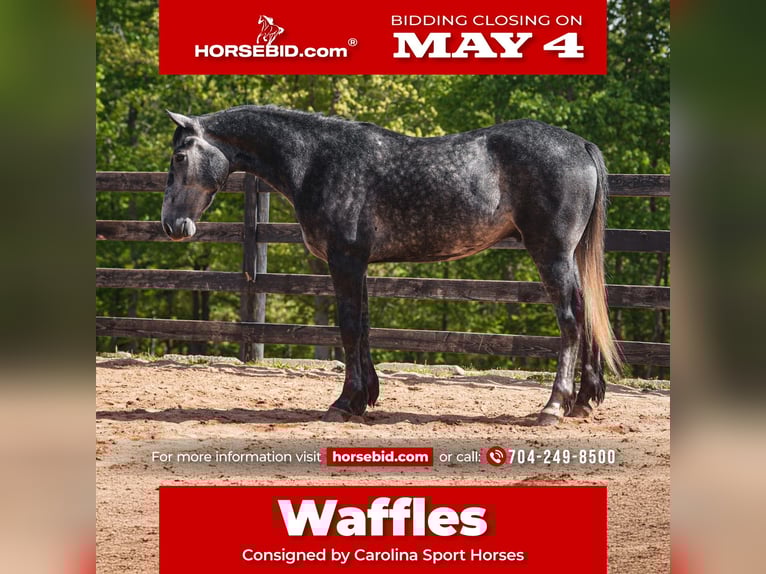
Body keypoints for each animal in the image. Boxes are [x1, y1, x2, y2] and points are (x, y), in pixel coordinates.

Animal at [161, 105, 621, 425]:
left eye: (180, 157)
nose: (171, 225)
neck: (317, 160)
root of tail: (580, 145)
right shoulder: (359, 264)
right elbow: (363, 327)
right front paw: (365, 398)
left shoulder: (345, 261)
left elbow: (348, 327)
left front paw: (343, 403)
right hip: (567, 257)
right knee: (587, 314)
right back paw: (584, 401)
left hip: (552, 253)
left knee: (570, 321)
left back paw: (554, 406)